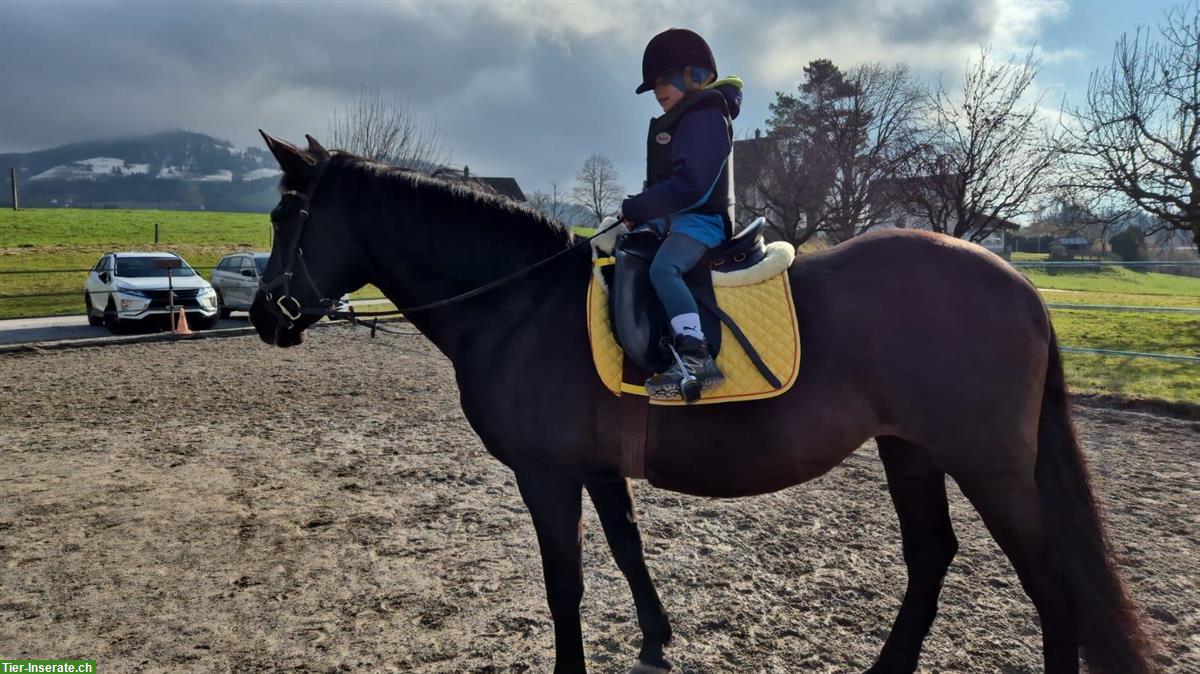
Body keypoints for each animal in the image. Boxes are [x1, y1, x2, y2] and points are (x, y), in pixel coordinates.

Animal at [246, 132, 1152, 671]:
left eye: (285, 214)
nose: (263, 317)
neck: (520, 303)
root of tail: (1016, 284)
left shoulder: (547, 475)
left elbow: (565, 583)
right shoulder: (597, 468)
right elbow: (626, 551)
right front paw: (655, 639)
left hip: (987, 464)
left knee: (1051, 583)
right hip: (913, 452)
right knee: (932, 557)